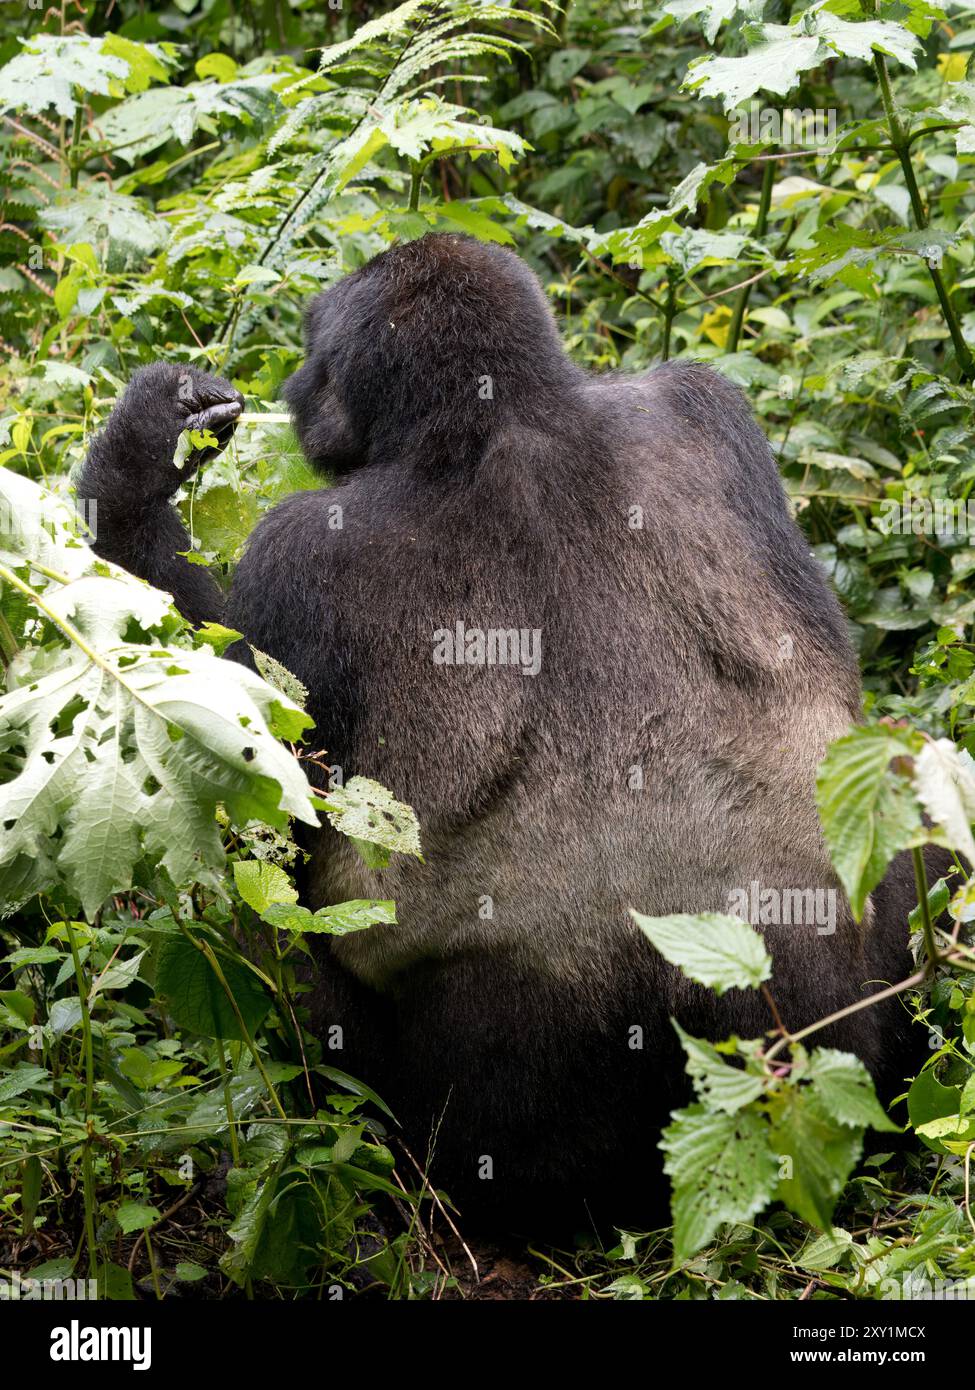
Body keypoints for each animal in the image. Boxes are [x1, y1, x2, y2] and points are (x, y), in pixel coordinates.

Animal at [77, 236, 934, 1228]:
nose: (293, 382)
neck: (507, 411)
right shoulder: (705, 404)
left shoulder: (303, 546)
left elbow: (253, 780)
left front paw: (136, 462)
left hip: (497, 1130)